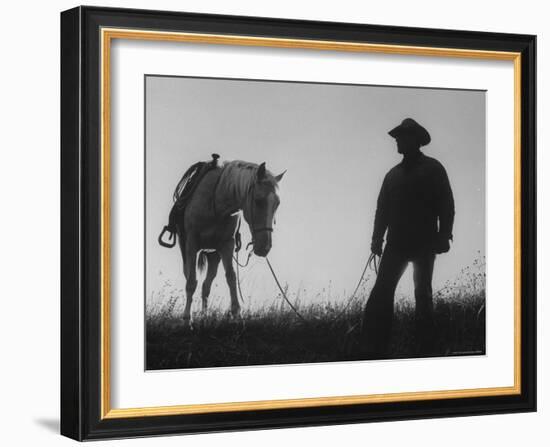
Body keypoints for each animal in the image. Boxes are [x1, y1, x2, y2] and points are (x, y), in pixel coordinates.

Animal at [162, 159, 286, 328]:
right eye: (258, 201)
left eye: (277, 204)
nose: (264, 247)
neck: (216, 202)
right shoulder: (192, 244)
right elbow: (191, 282)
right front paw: (187, 320)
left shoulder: (227, 245)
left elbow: (231, 277)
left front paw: (237, 315)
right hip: (186, 249)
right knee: (191, 278)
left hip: (214, 255)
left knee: (206, 286)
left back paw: (205, 317)